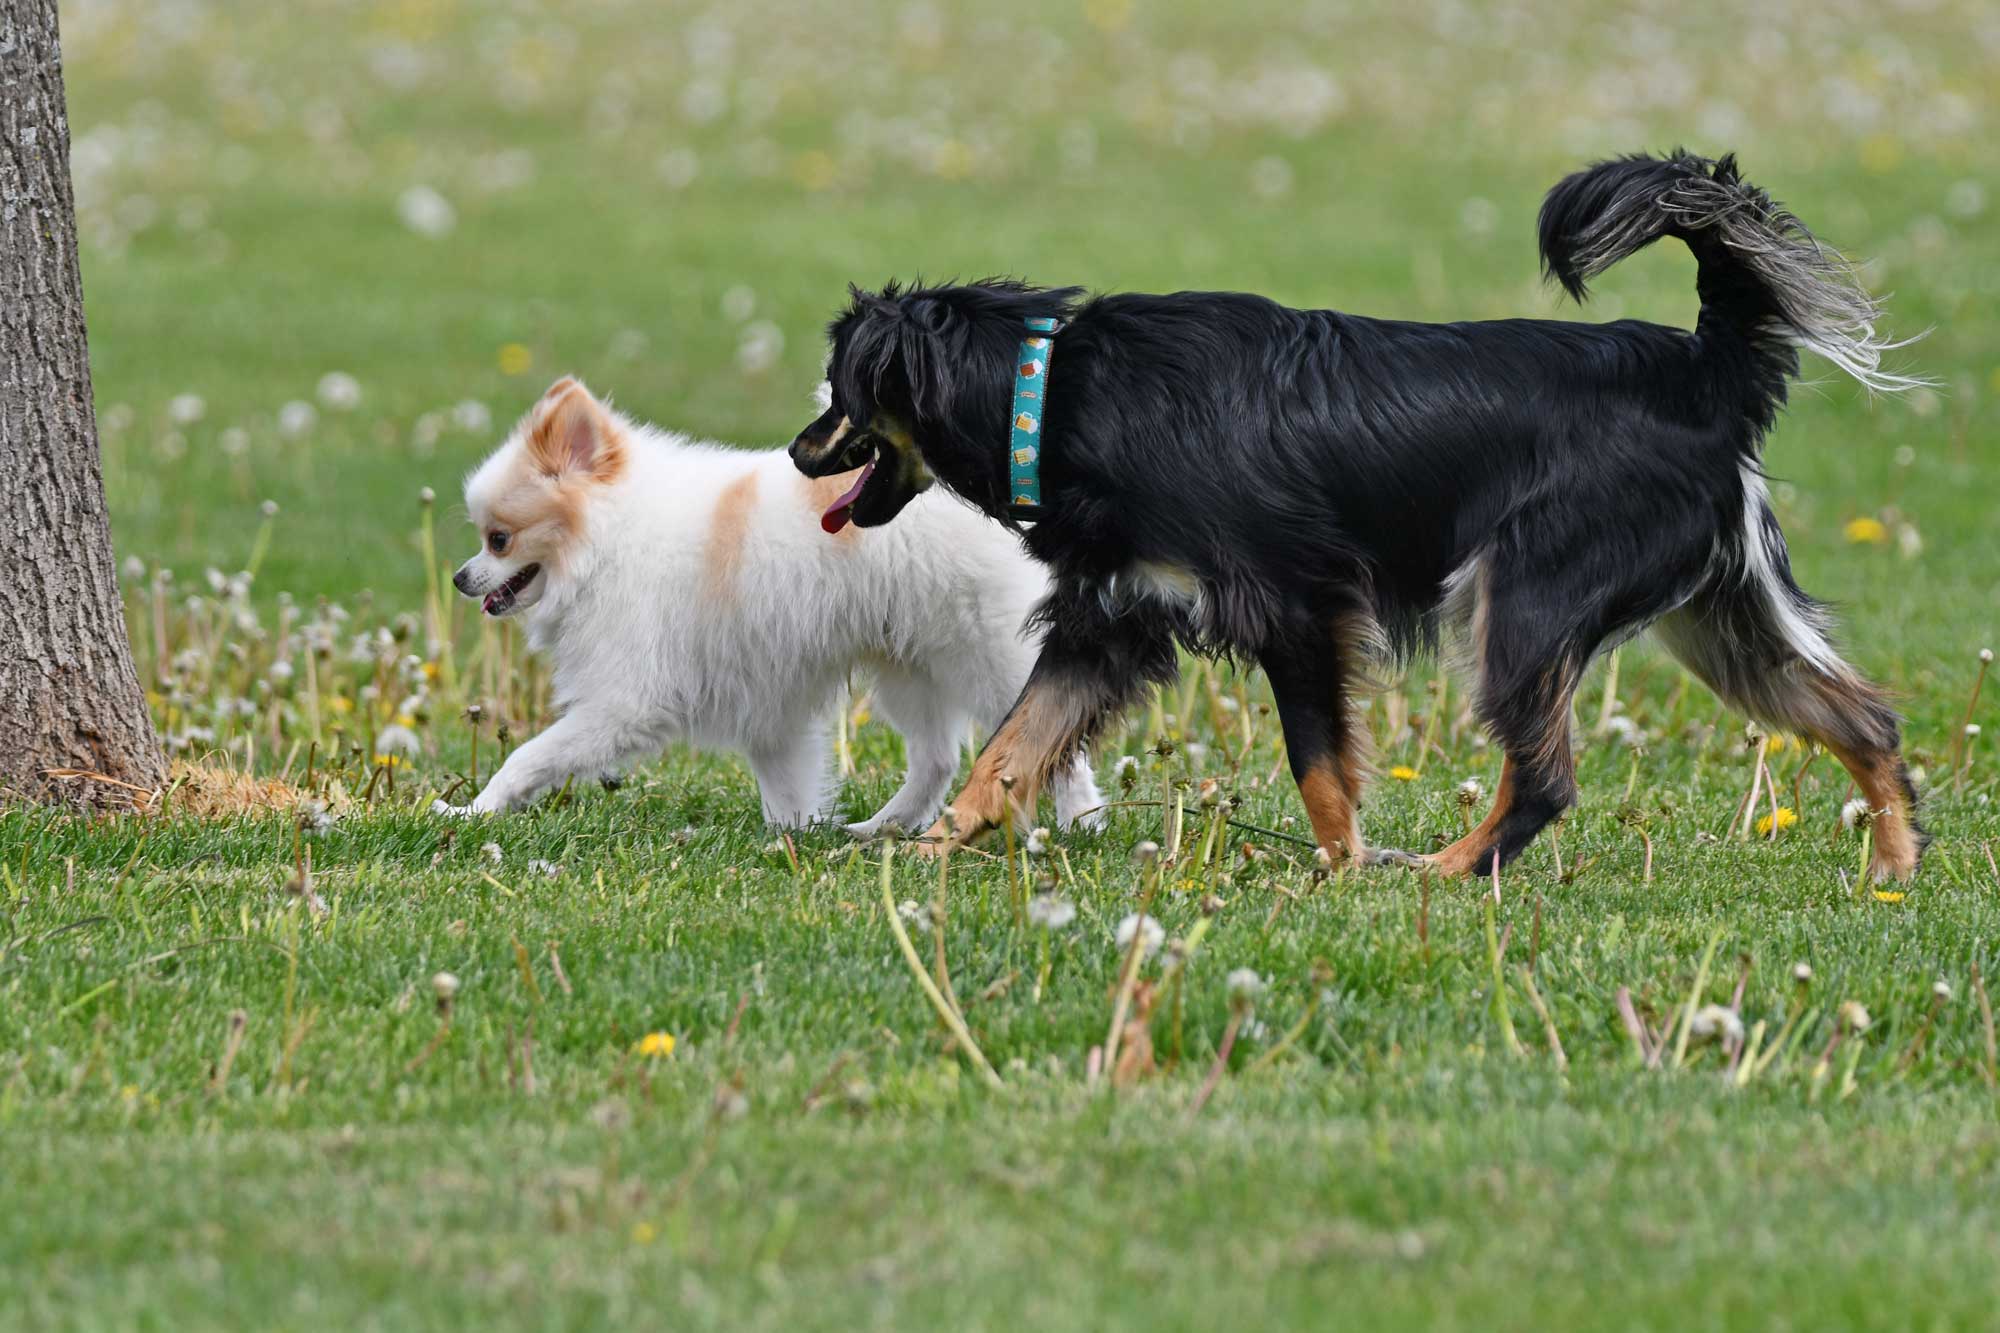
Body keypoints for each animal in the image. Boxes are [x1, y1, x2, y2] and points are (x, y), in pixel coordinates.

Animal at [438, 374, 1104, 832]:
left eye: (498, 539)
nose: (461, 577)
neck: (608, 540)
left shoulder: (625, 701)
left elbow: (528, 757)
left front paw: (474, 811)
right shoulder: (767, 701)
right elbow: (785, 783)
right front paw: (795, 835)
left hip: (985, 657)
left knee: (1053, 741)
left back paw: (1080, 823)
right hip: (908, 665)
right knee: (936, 758)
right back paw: (879, 830)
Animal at [788, 150, 1928, 876]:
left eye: (840, 394)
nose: (797, 454)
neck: (1055, 391)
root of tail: (1704, 368)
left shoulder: (1296, 609)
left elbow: (1318, 766)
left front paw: (1343, 871)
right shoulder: (1107, 621)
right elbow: (1008, 754)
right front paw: (925, 851)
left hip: (1517, 603)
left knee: (1545, 780)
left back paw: (1447, 870)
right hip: (1718, 618)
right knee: (1864, 720)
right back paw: (1893, 868)